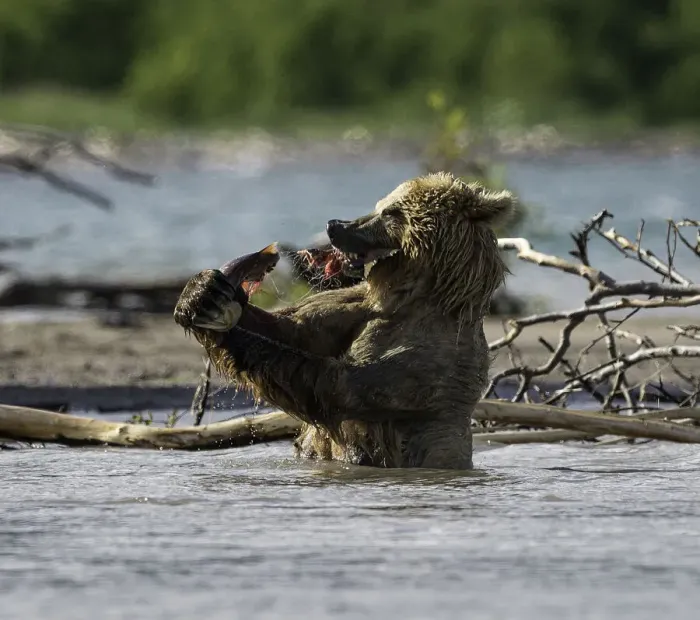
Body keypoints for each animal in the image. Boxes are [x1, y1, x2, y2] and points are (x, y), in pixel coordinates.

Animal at [174, 172, 516, 469]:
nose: (335, 225)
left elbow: (337, 387)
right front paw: (204, 294)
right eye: (380, 205)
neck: (407, 297)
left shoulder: (427, 358)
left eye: (390, 212)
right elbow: (293, 330)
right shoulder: (353, 305)